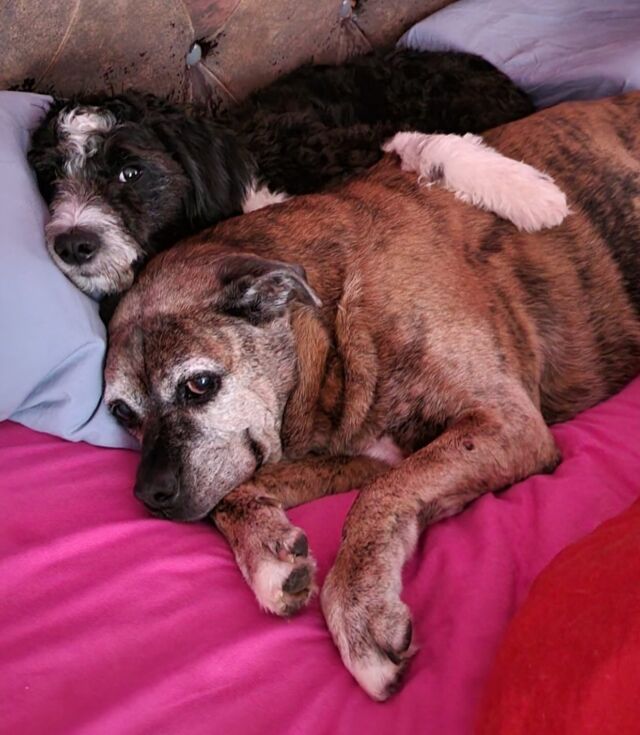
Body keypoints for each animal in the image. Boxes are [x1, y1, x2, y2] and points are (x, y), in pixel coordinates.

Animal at [30, 48, 560, 302]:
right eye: (51, 179)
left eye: (130, 171)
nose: (72, 244)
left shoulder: (353, 140)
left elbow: (430, 145)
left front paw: (529, 194)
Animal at [105, 95, 640, 700]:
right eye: (121, 412)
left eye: (200, 384)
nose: (150, 495)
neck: (334, 313)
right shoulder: (367, 456)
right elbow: (242, 493)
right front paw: (267, 551)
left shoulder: (504, 425)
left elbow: (376, 499)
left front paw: (358, 612)